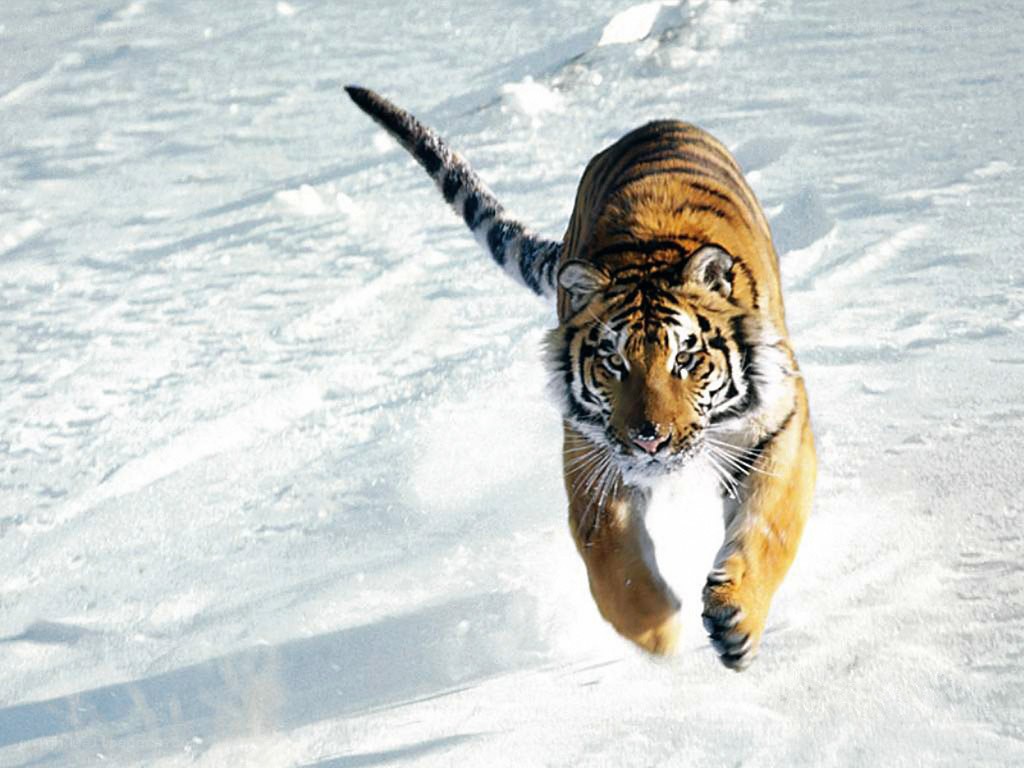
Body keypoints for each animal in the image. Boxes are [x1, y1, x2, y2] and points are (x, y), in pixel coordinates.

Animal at [345, 85, 816, 671]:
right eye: (614, 363)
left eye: (685, 359)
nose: (650, 440)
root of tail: (654, 123)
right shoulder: (591, 454)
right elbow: (612, 561)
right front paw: (657, 631)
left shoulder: (779, 426)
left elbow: (770, 527)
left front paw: (736, 621)